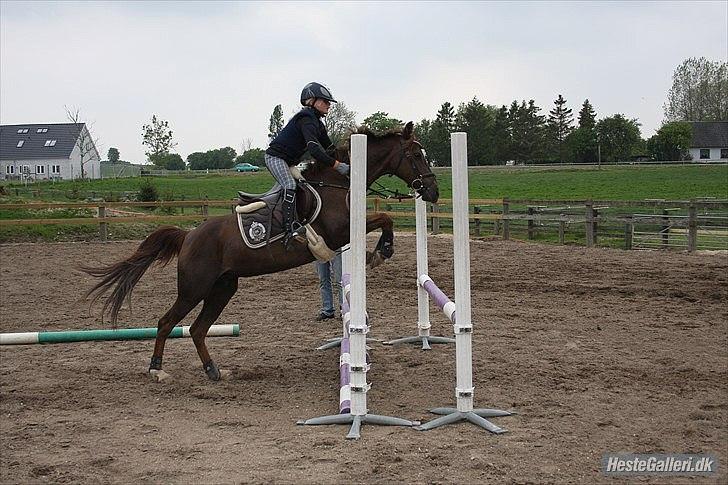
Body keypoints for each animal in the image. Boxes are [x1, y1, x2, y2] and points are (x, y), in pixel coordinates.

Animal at [81, 122, 439, 382]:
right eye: (416, 154)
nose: (433, 191)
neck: (337, 185)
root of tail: (189, 235)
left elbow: (384, 217)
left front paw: (382, 250)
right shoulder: (340, 230)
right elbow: (384, 217)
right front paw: (382, 250)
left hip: (223, 287)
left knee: (197, 329)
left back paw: (213, 370)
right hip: (194, 287)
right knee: (167, 322)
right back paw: (156, 369)